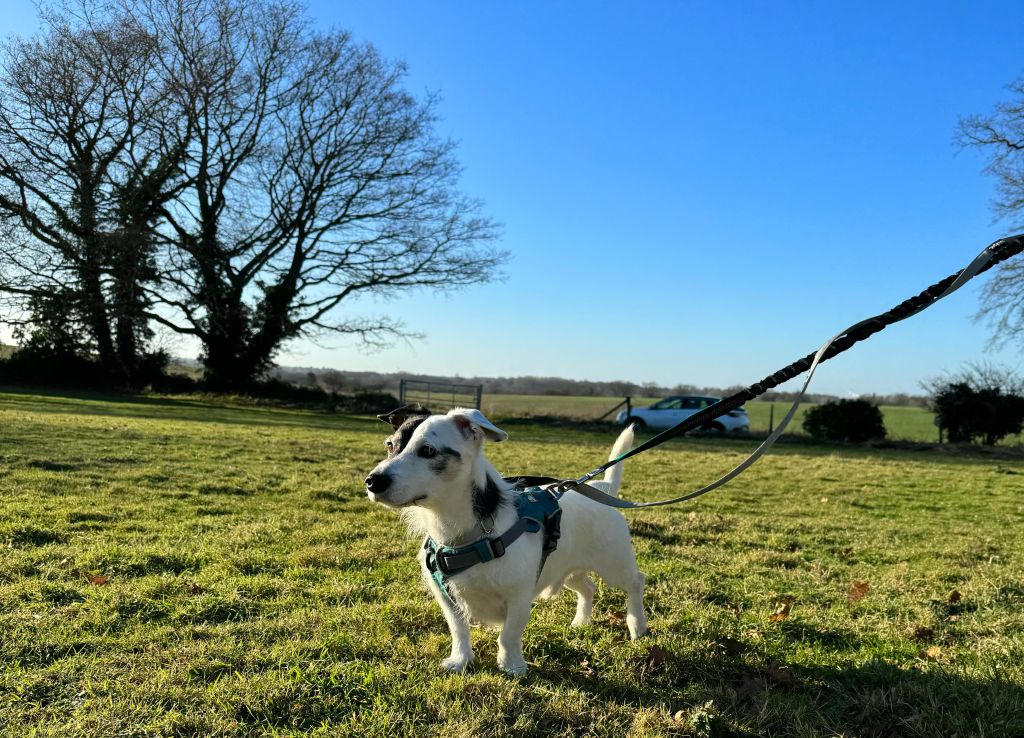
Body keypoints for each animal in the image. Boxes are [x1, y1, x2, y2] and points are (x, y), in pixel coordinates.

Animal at [365, 405, 648, 675]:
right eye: (390, 445)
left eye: (427, 450)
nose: (372, 481)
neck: (466, 533)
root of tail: (602, 487)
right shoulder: (447, 598)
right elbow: (459, 630)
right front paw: (461, 660)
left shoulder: (519, 596)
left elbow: (509, 635)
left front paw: (511, 665)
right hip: (566, 569)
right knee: (588, 587)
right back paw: (581, 621)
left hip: (613, 565)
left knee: (636, 582)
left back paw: (637, 625)